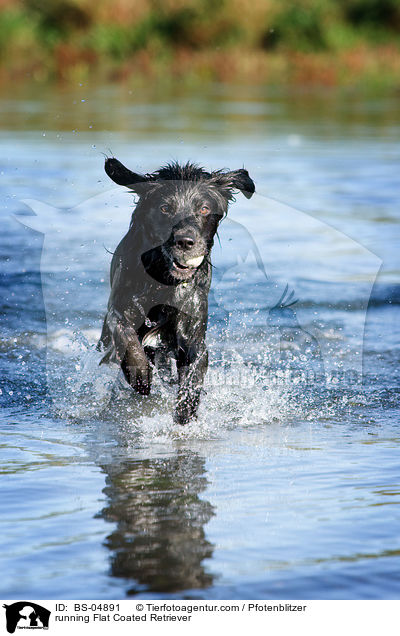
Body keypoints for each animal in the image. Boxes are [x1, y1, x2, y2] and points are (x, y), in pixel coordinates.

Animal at [98, 158, 255, 424]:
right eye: (164, 208)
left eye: (204, 209)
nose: (185, 241)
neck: (163, 281)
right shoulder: (119, 308)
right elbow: (127, 337)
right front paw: (140, 376)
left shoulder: (193, 333)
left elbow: (193, 375)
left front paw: (185, 417)